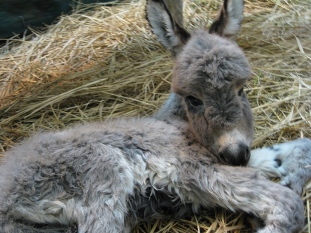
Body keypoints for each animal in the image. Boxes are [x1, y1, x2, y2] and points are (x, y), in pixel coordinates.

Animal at [0, 0, 311, 233]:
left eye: (241, 89)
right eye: (193, 99)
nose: (235, 154)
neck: (178, 125)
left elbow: (300, 147)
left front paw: (289, 177)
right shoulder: (194, 170)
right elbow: (289, 204)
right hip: (102, 166)